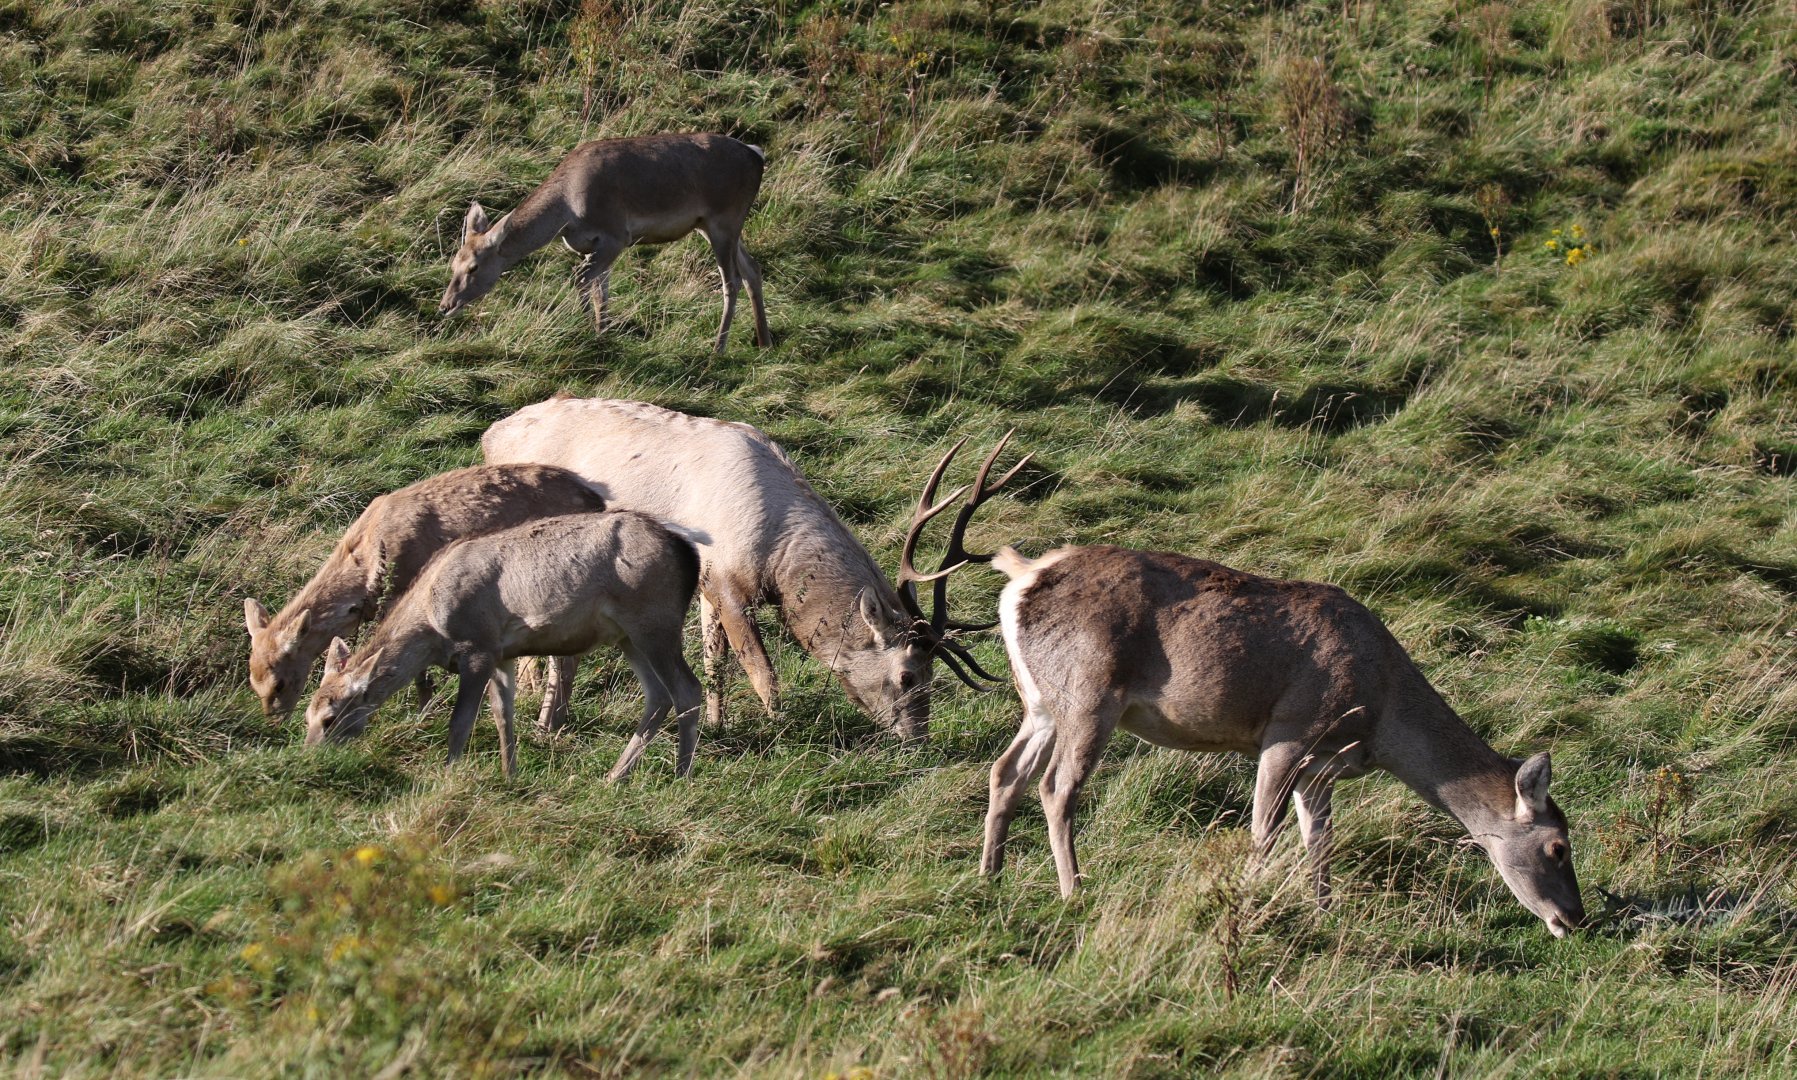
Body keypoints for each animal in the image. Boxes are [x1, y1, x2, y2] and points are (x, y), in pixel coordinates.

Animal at [243, 464, 607, 721]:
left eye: (279, 683)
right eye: (252, 681)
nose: (274, 719)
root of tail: (597, 501)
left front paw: (422, 709)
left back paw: (549, 720)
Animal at [305, 511, 703, 781]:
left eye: (330, 718)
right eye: (306, 715)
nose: (309, 757)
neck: (431, 627)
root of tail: (691, 557)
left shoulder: (478, 645)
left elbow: (461, 721)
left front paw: (448, 773)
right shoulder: (502, 653)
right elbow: (501, 714)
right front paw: (509, 773)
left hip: (654, 621)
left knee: (687, 689)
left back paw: (680, 775)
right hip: (627, 636)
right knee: (658, 695)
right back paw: (615, 775)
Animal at [438, 132, 771, 353]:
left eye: (473, 267)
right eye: (452, 263)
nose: (445, 306)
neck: (567, 214)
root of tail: (757, 155)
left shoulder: (616, 234)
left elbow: (581, 279)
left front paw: (587, 329)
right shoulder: (596, 245)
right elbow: (601, 289)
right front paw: (602, 331)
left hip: (723, 219)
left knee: (732, 281)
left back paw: (718, 348)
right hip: (716, 225)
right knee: (752, 268)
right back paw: (764, 341)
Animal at [480, 398, 1024, 739]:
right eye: (909, 675)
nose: (918, 737)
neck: (775, 554)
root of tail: (491, 435)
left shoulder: (705, 586)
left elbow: (713, 662)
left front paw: (715, 724)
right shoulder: (727, 582)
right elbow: (764, 673)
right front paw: (777, 729)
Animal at [978, 543, 1587, 939]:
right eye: (1558, 847)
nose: (1576, 919)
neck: (1381, 717)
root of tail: (1021, 577)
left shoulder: (1322, 768)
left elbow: (1320, 839)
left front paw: (1324, 912)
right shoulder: (1288, 732)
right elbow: (1263, 832)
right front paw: (1247, 908)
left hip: (1040, 701)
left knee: (1006, 770)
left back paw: (990, 875)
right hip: (1089, 693)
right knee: (1056, 787)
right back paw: (1074, 891)